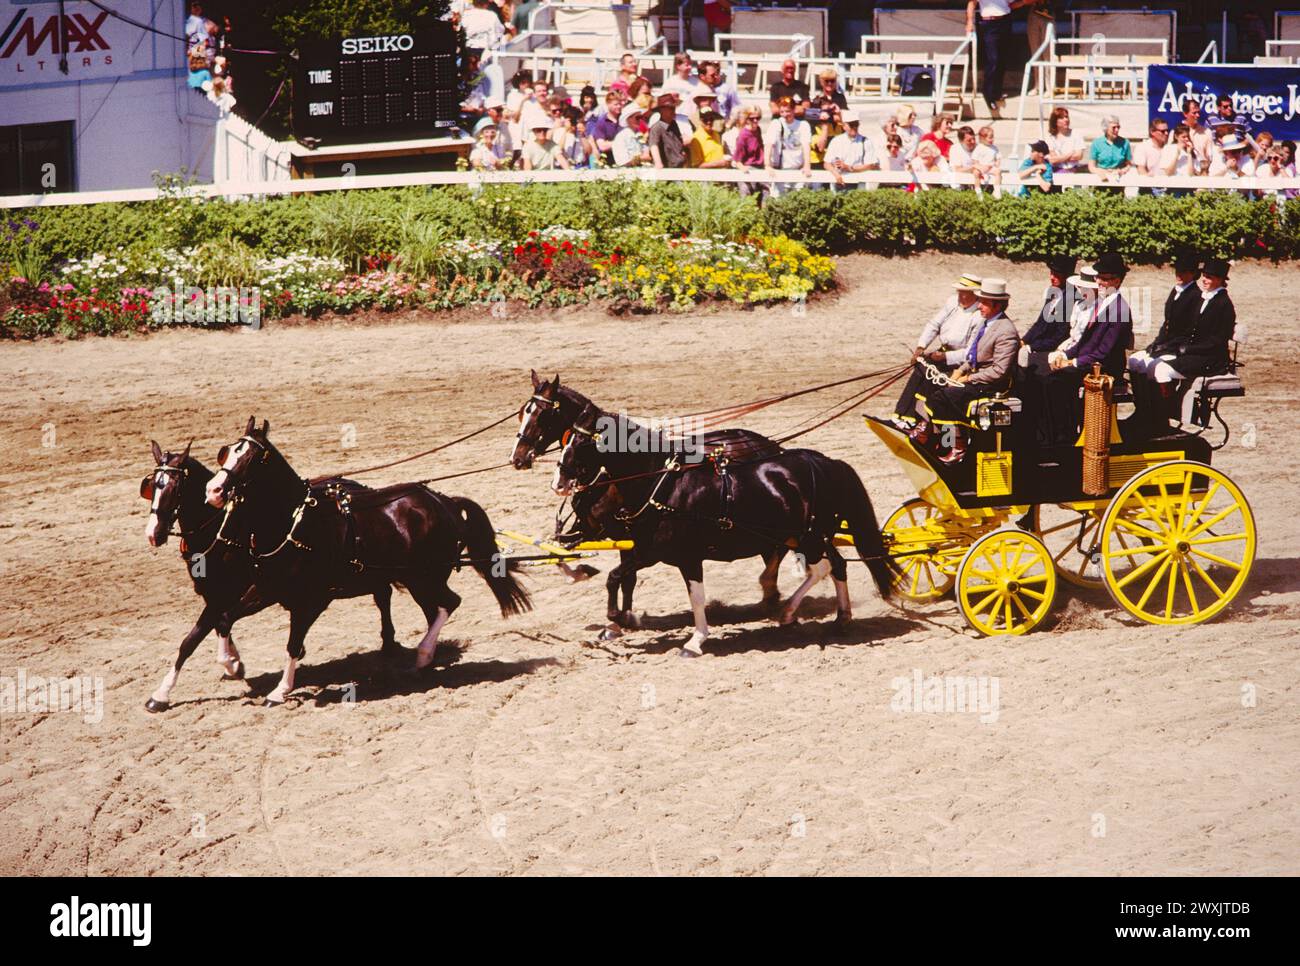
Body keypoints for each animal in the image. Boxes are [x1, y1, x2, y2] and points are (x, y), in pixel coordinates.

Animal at [139, 442, 397, 712]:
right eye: (151, 486)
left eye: (175, 488)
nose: (153, 533)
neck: (221, 530)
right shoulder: (215, 595)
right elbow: (219, 626)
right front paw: (234, 661)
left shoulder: (234, 594)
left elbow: (192, 640)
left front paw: (162, 693)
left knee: (383, 593)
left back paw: (388, 643)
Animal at [202, 418, 527, 707]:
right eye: (227, 452)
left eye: (253, 458)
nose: (213, 491)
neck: (297, 525)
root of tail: (443, 501)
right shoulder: (267, 589)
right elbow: (225, 619)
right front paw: (232, 664)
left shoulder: (311, 601)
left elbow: (293, 644)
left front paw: (280, 690)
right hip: (417, 579)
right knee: (435, 610)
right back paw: (425, 658)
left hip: (424, 577)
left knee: (449, 603)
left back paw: (422, 656)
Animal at [509, 366, 790, 631]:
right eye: (523, 412)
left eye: (542, 414)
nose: (517, 458)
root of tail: (770, 445)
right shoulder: (607, 532)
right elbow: (563, 551)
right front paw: (618, 612)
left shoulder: (626, 536)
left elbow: (622, 576)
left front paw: (622, 617)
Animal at [548, 400, 894, 657]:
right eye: (565, 438)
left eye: (582, 440)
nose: (559, 482)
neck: (663, 484)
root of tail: (825, 462)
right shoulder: (656, 551)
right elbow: (628, 580)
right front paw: (620, 621)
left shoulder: (666, 553)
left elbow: (648, 585)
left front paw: (690, 639)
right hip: (812, 535)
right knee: (837, 565)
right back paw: (840, 617)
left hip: (808, 536)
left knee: (821, 567)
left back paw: (788, 612)